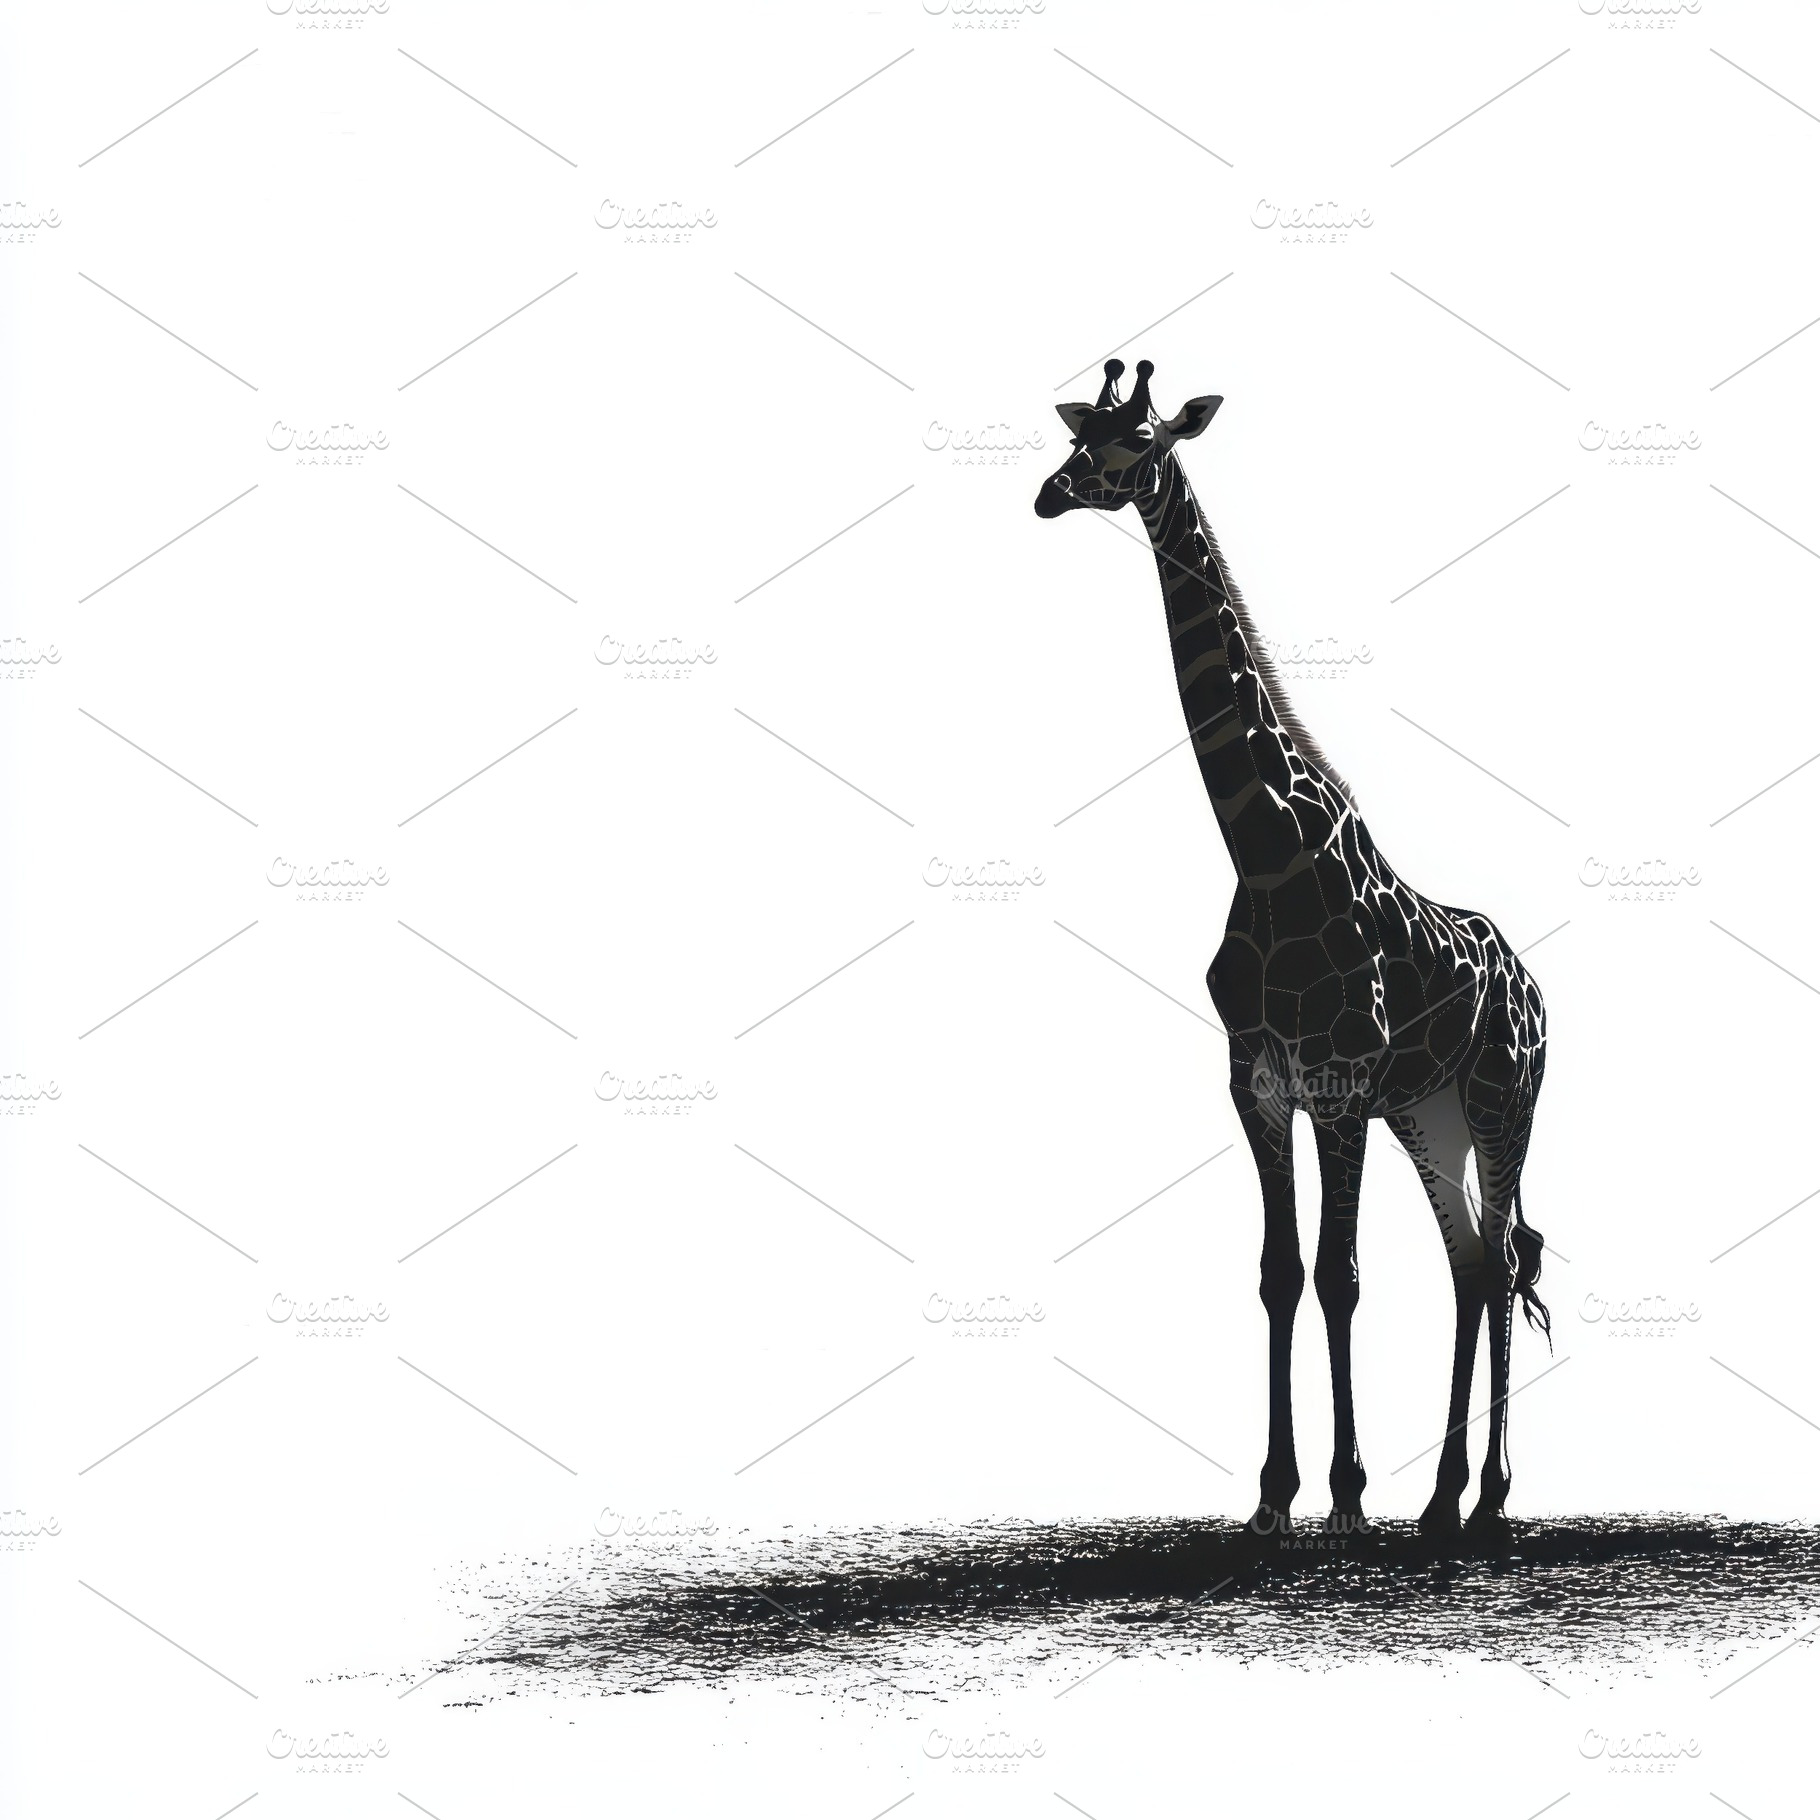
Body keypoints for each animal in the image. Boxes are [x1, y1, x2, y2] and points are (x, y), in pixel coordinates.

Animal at [1036, 360, 1551, 1542]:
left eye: (1139, 441)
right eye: (1079, 435)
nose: (1047, 494)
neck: (1263, 851)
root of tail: (1538, 991)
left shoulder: (1339, 1084)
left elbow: (1339, 1271)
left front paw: (1346, 1494)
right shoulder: (1258, 1083)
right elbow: (1278, 1271)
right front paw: (1275, 1493)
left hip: (1500, 1099)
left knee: (1501, 1257)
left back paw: (1491, 1497)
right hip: (1429, 1112)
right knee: (1469, 1263)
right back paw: (1442, 1499)